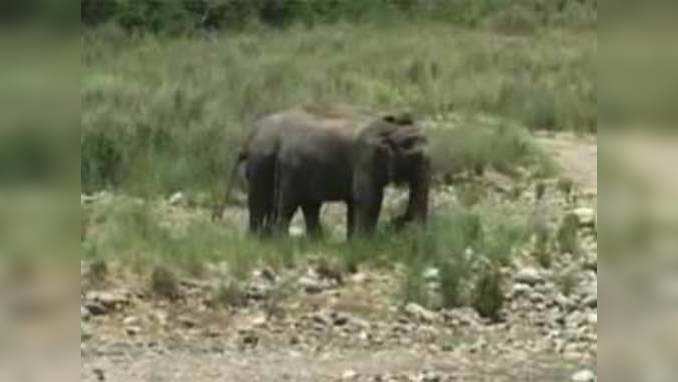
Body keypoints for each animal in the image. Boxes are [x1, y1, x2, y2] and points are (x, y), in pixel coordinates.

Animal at [215, 104, 430, 239]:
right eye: (412, 155)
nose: (397, 221)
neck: (388, 128)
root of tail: (249, 138)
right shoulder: (365, 160)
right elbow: (369, 200)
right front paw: (364, 243)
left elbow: (355, 202)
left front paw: (354, 243)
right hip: (271, 165)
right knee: (279, 204)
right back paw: (270, 240)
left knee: (307, 206)